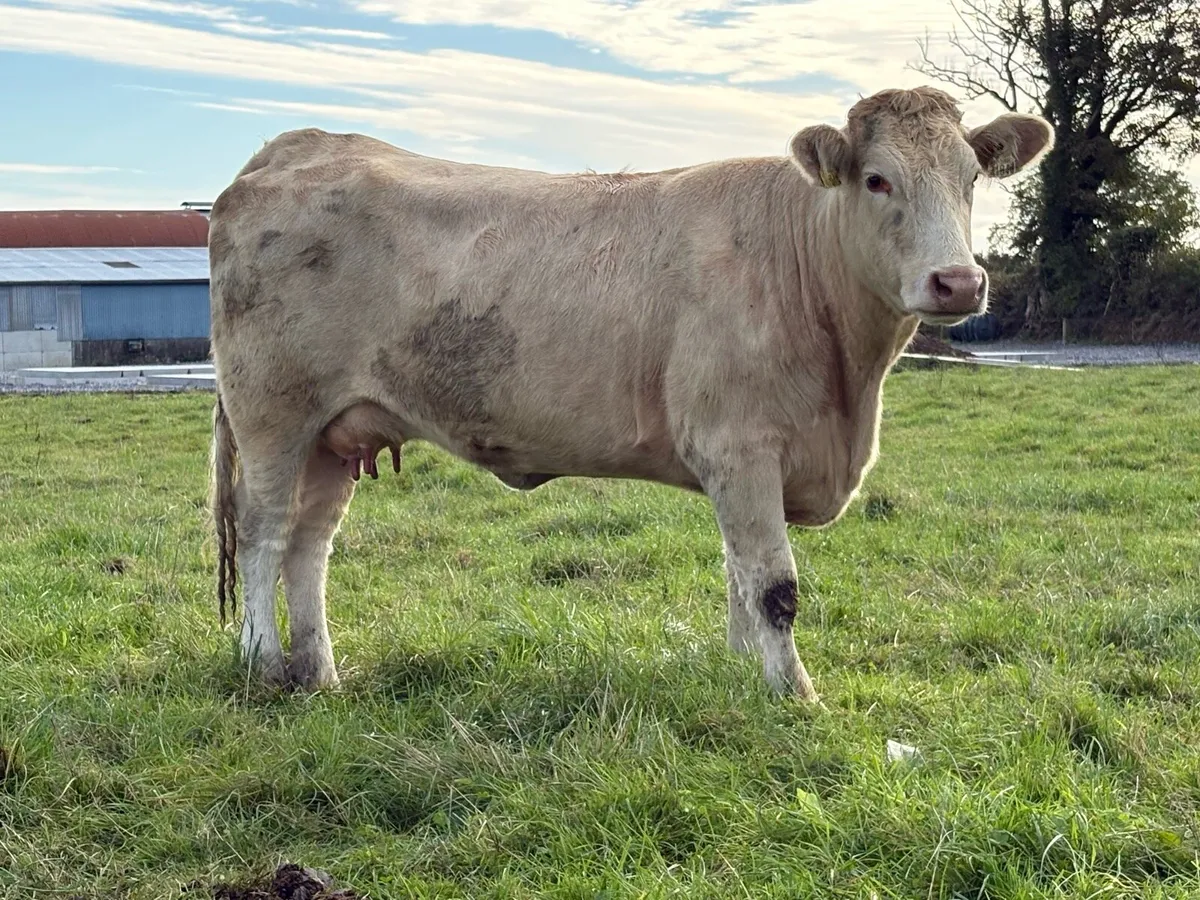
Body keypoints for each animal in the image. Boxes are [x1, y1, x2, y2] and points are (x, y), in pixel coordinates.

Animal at [207, 86, 1052, 700]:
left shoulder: (739, 463)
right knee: (262, 534)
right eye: (878, 180)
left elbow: (737, 576)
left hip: (336, 430)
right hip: (274, 415)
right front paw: (796, 697)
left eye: (972, 179)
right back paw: (264, 664)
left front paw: (741, 676)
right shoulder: (740, 447)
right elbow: (773, 586)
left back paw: (321, 675)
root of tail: (298, 145)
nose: (958, 282)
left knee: (310, 545)